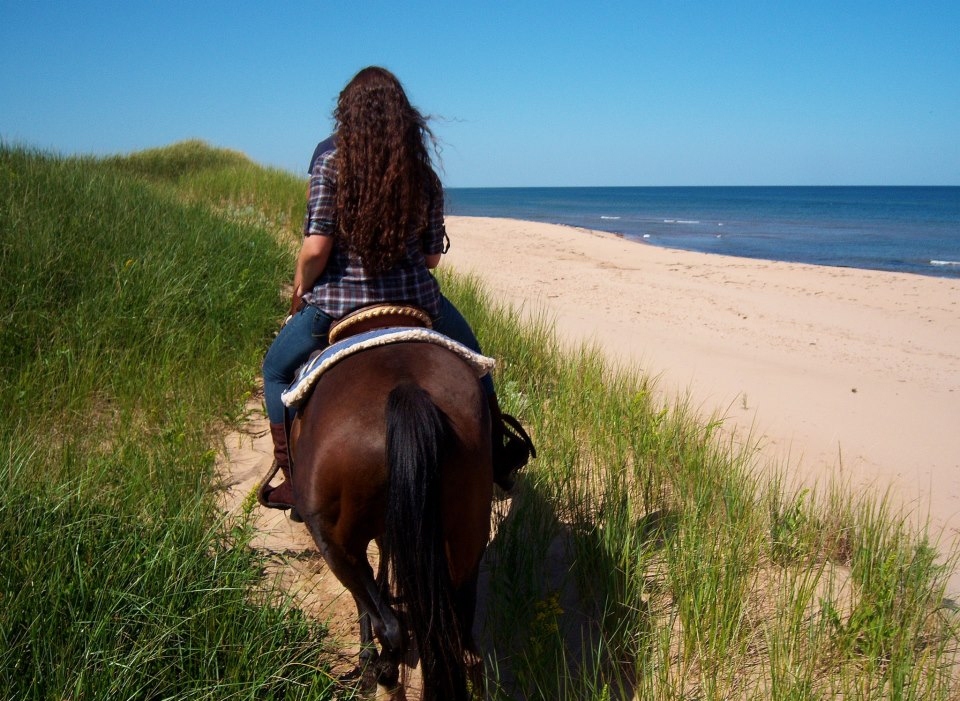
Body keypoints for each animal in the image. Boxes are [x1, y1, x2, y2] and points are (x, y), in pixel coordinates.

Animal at [288, 342, 492, 696]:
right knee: (458, 637)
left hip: (334, 545)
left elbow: (368, 601)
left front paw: (369, 661)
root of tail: (406, 389)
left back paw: (382, 671)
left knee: (390, 625)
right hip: (466, 541)